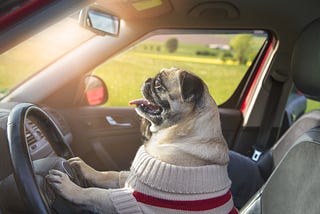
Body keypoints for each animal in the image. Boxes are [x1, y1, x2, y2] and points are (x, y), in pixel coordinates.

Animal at [47, 67, 238, 214]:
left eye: (159, 85)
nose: (148, 80)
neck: (177, 134)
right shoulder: (130, 178)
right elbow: (108, 174)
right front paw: (84, 167)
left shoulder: (131, 200)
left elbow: (94, 194)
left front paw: (69, 187)